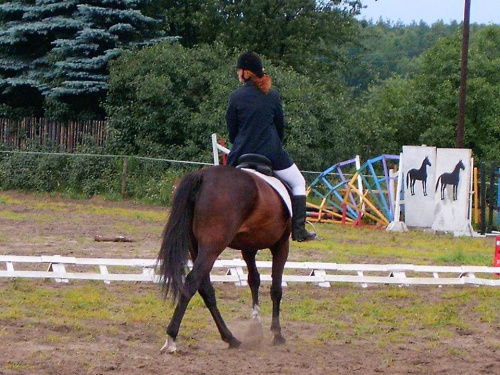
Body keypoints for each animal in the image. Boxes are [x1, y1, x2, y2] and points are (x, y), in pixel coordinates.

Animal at [155, 165, 290, 356]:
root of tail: (202, 176)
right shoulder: (281, 245)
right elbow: (276, 288)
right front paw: (276, 333)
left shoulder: (248, 247)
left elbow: (254, 280)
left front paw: (256, 326)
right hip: (212, 247)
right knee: (192, 282)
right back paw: (171, 340)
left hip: (196, 248)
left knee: (205, 289)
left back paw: (230, 338)